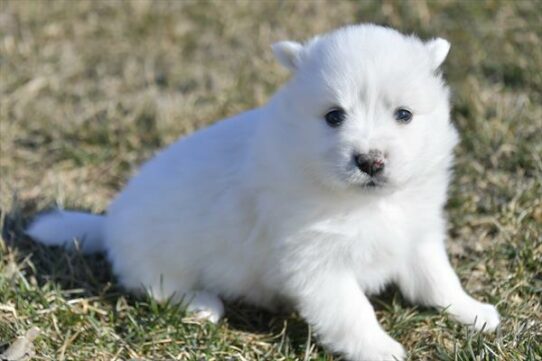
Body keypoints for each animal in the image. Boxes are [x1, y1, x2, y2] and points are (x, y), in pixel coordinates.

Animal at [26, 24, 502, 360]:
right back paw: (203, 303)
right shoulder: (317, 266)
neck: (362, 202)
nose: (370, 161)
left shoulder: (417, 235)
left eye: (403, 114)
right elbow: (353, 311)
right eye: (334, 116)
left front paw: (474, 311)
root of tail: (109, 224)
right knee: (158, 286)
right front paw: (380, 349)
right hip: (158, 262)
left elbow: (439, 280)